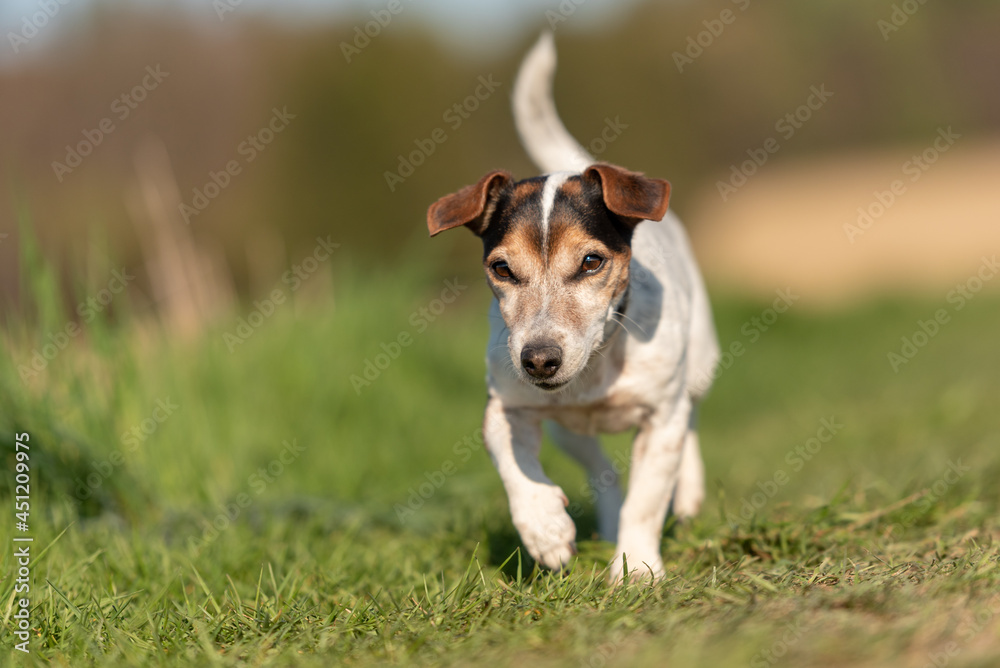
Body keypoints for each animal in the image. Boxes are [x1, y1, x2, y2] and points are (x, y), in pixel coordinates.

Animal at [422, 34, 720, 580]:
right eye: (501, 268)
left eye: (591, 262)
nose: (539, 360)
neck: (597, 367)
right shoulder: (506, 406)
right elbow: (514, 464)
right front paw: (546, 530)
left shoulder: (660, 416)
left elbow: (647, 500)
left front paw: (635, 569)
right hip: (568, 433)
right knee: (604, 473)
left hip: (698, 369)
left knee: (689, 423)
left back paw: (688, 494)